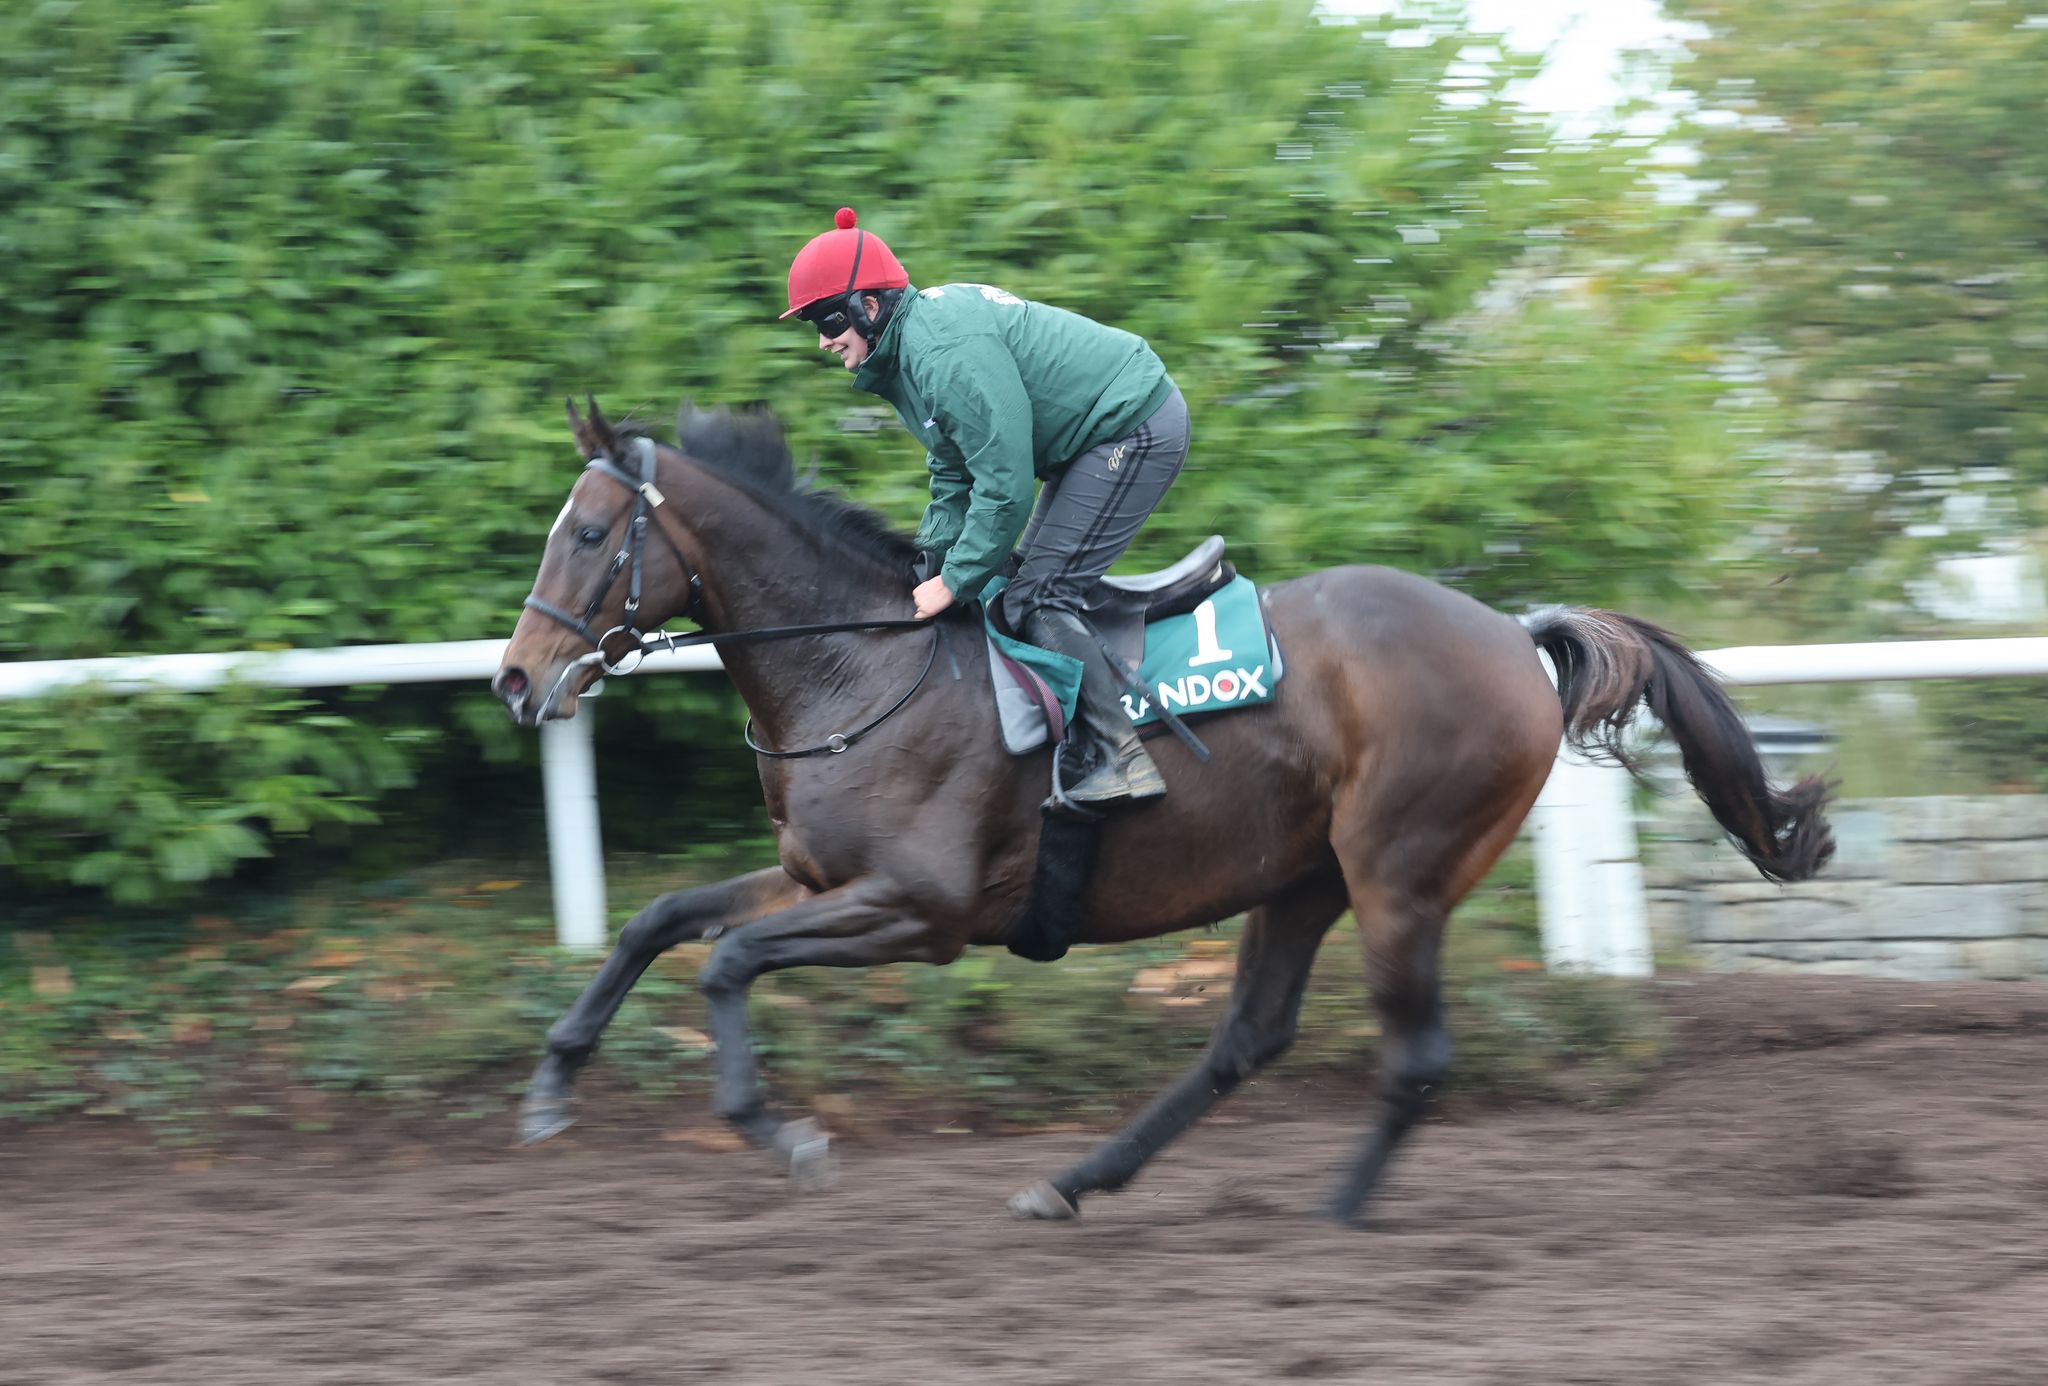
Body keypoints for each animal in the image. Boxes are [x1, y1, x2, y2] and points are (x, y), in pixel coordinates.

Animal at [487, 397, 1835, 1220]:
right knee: (1245, 1039)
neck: (863, 663)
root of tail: (1513, 633)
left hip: (1398, 878)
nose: (515, 680)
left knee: (1411, 1057)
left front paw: (778, 1133)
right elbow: (660, 918)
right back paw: (1078, 1181)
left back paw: (1340, 1212)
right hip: (1300, 879)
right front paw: (551, 1086)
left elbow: (724, 963)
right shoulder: (823, 878)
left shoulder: (917, 912)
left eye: (591, 533)